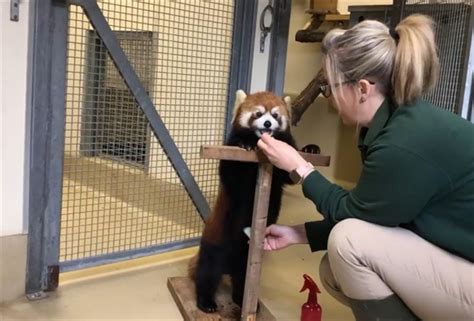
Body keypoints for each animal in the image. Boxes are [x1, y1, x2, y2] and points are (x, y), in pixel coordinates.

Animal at [189, 90, 296, 312]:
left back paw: (241, 299)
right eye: (258, 114)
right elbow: (230, 168)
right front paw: (243, 144)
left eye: (275, 115)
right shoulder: (231, 161)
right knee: (207, 273)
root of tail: (229, 266)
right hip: (215, 244)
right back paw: (206, 302)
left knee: (242, 279)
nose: (267, 124)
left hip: (247, 260)